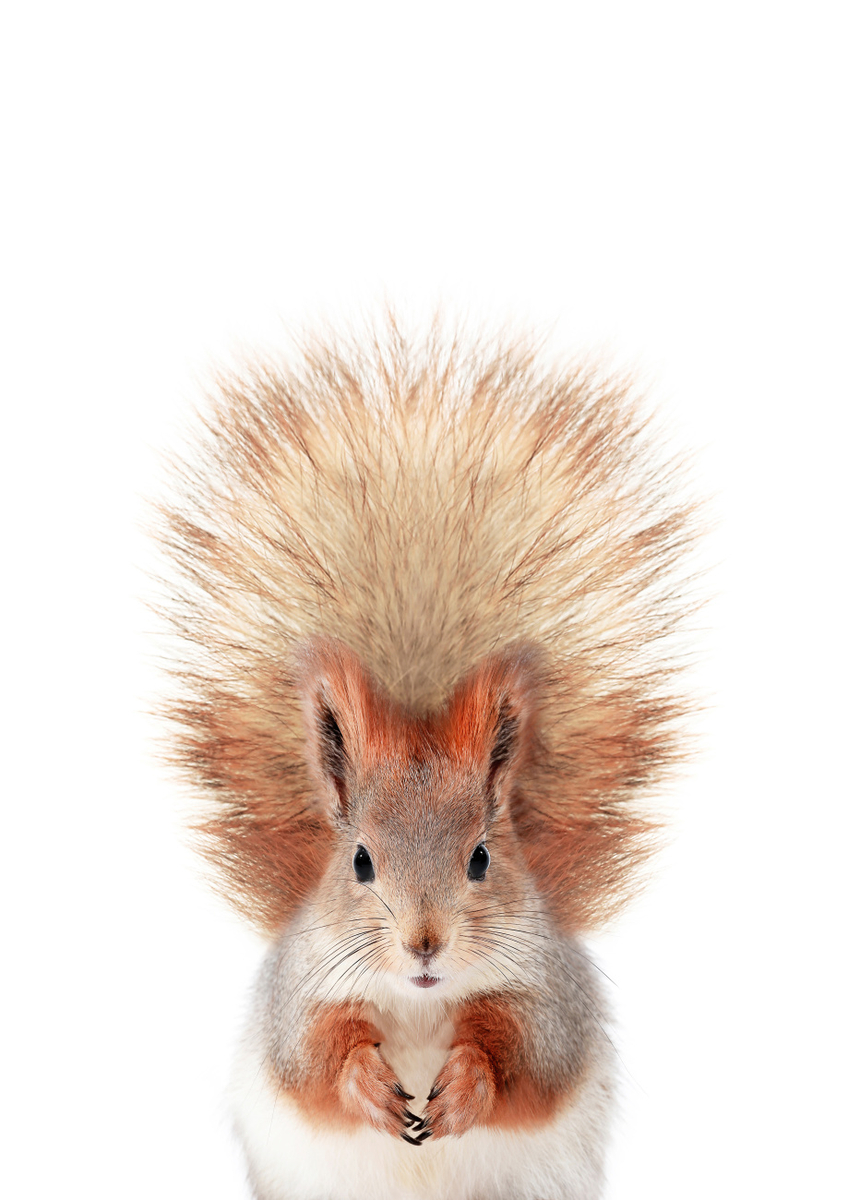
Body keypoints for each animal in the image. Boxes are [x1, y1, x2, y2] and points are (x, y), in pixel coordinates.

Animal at [158, 320, 696, 1200]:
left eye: (481, 858)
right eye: (359, 861)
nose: (424, 943)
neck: (416, 1003)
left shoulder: (548, 997)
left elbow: (526, 1059)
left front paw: (469, 1082)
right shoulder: (298, 996)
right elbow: (313, 1059)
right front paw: (366, 1084)